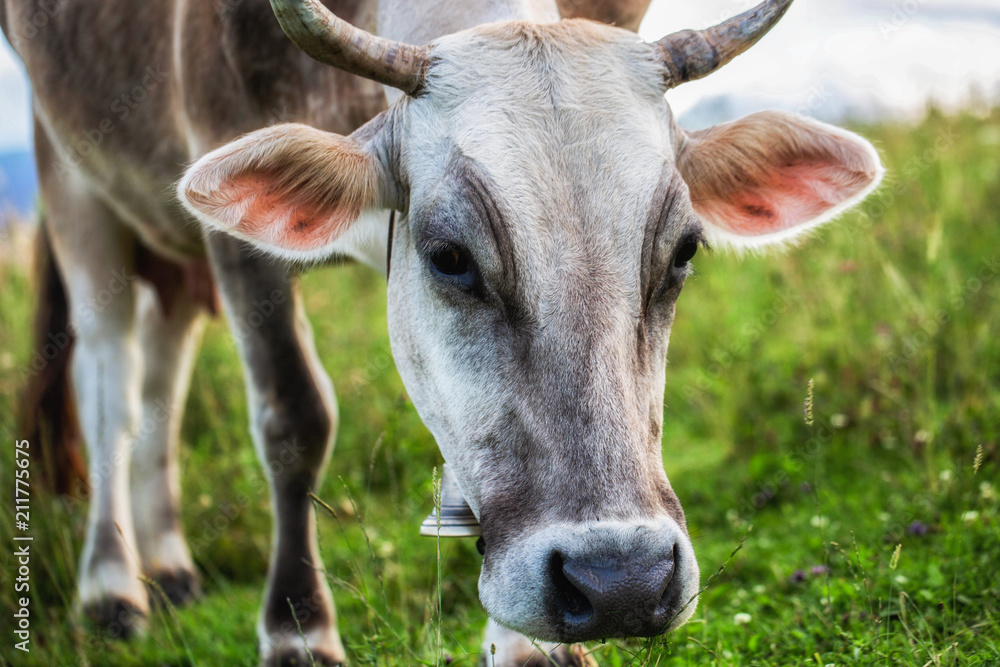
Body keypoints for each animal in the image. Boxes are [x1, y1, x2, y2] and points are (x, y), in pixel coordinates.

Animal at [7, 0, 884, 664]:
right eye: (450, 256)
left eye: (683, 250)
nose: (620, 581)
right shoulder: (238, 235)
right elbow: (293, 416)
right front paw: (296, 628)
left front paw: (525, 646)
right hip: (72, 174)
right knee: (111, 387)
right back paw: (113, 586)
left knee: (163, 371)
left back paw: (168, 564)